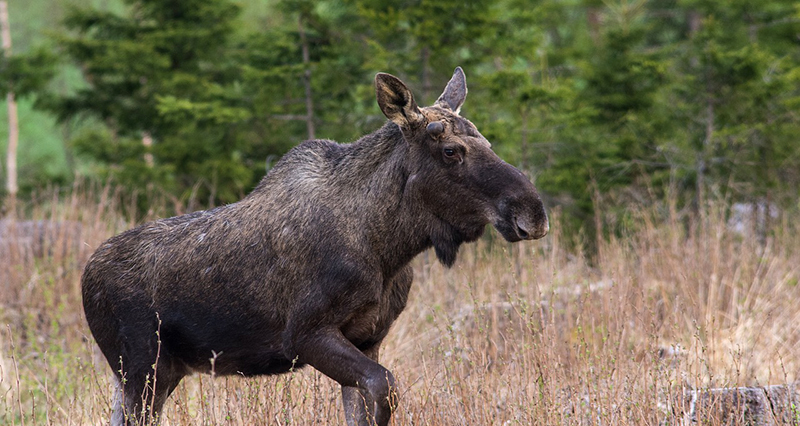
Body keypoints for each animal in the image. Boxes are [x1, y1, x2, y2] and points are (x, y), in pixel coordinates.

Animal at [84, 68, 548, 424]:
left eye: (487, 141)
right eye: (452, 150)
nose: (533, 211)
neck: (388, 247)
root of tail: (86, 277)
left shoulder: (369, 337)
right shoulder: (306, 333)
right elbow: (385, 385)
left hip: (151, 374)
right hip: (143, 367)